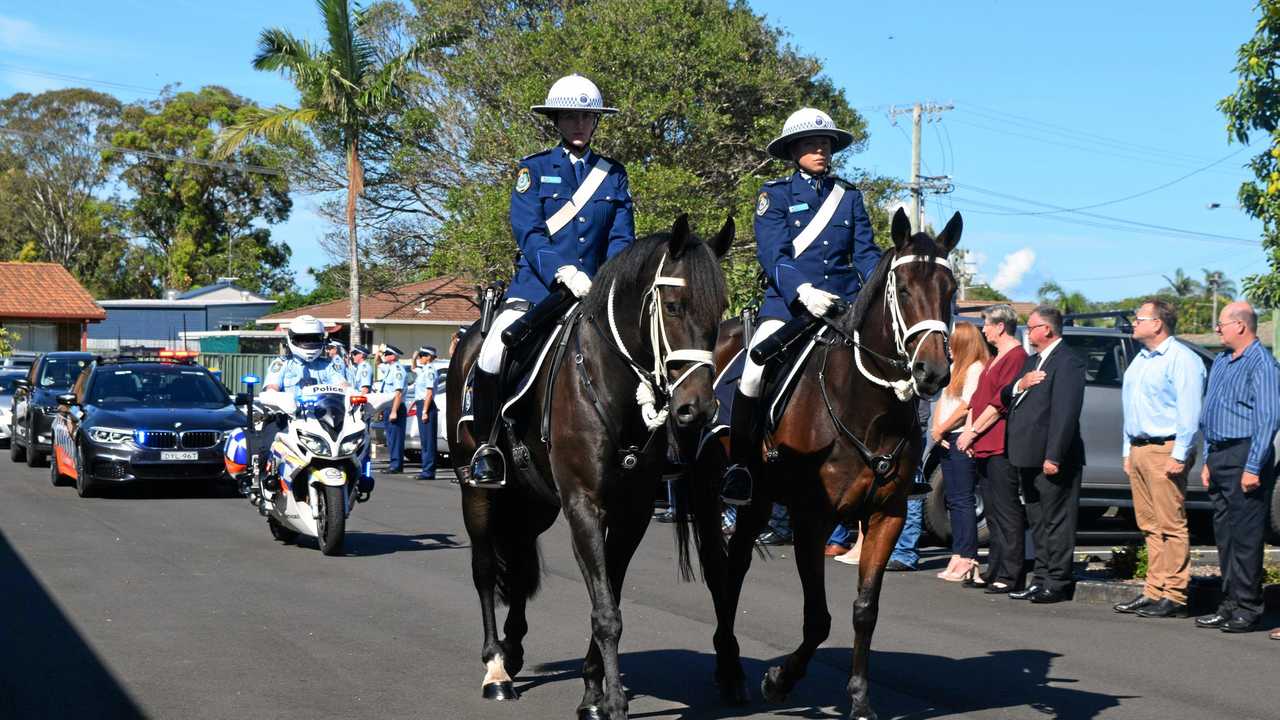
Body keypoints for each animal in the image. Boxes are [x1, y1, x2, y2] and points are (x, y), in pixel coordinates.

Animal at [448, 213, 732, 717]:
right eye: (674, 306)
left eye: (719, 310)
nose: (696, 409)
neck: (610, 384)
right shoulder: (583, 504)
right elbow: (606, 610)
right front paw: (613, 701)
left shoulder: (632, 513)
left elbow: (609, 595)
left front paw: (592, 691)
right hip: (476, 489)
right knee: (483, 569)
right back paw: (496, 668)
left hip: (536, 501)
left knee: (518, 562)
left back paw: (514, 650)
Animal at [680, 208, 962, 717]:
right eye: (903, 289)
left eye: (949, 291)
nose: (931, 372)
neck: (866, 405)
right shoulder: (812, 517)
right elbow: (818, 618)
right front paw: (779, 680)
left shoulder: (886, 515)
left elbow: (864, 611)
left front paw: (860, 697)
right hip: (713, 490)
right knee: (722, 569)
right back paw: (729, 669)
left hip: (758, 501)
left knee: (734, 566)